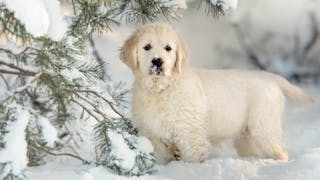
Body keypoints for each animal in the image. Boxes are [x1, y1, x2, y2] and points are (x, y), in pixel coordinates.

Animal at [119, 22, 314, 165]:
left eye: (168, 48)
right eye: (147, 47)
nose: (158, 62)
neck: (161, 89)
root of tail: (272, 77)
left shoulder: (189, 134)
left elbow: (192, 158)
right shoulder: (153, 134)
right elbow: (162, 156)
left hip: (264, 127)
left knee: (280, 152)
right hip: (246, 135)